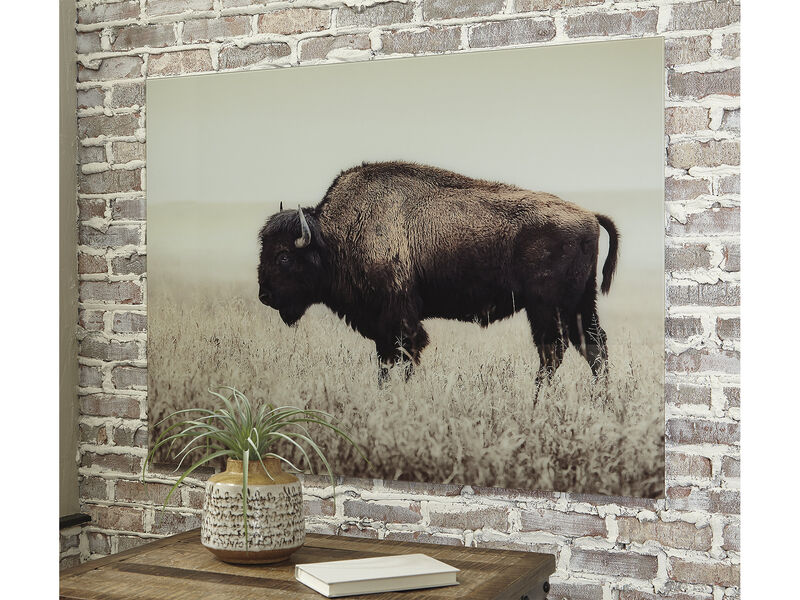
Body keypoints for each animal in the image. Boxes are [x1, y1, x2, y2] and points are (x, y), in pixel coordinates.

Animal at [258, 161, 618, 394]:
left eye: (284, 256)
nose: (265, 296)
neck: (333, 237)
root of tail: (589, 215)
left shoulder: (398, 319)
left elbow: (402, 356)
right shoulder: (383, 326)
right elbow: (386, 362)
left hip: (547, 308)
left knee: (553, 351)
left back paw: (539, 400)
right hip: (579, 304)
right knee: (592, 346)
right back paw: (599, 401)